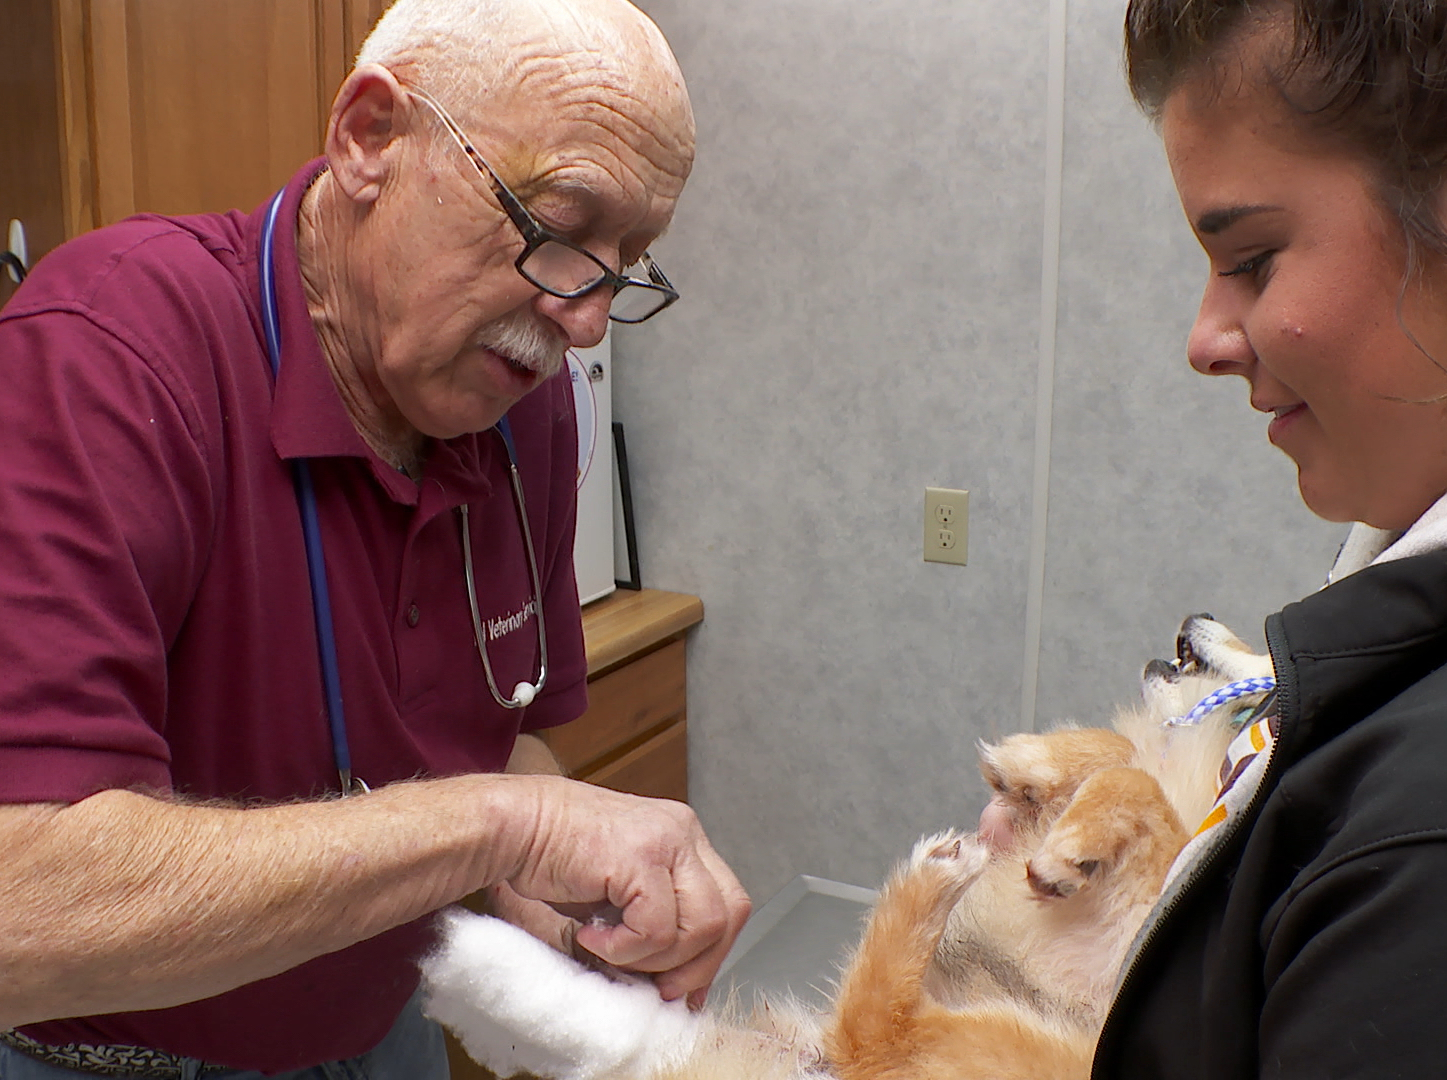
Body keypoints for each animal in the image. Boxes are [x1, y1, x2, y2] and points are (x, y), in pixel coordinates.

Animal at [422, 614, 1273, 1080]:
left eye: (1261, 634)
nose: (1197, 609)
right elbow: (1118, 755)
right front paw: (1028, 762)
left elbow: (1142, 792)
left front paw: (1066, 848)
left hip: (1006, 1048)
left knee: (873, 1029)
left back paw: (935, 880)